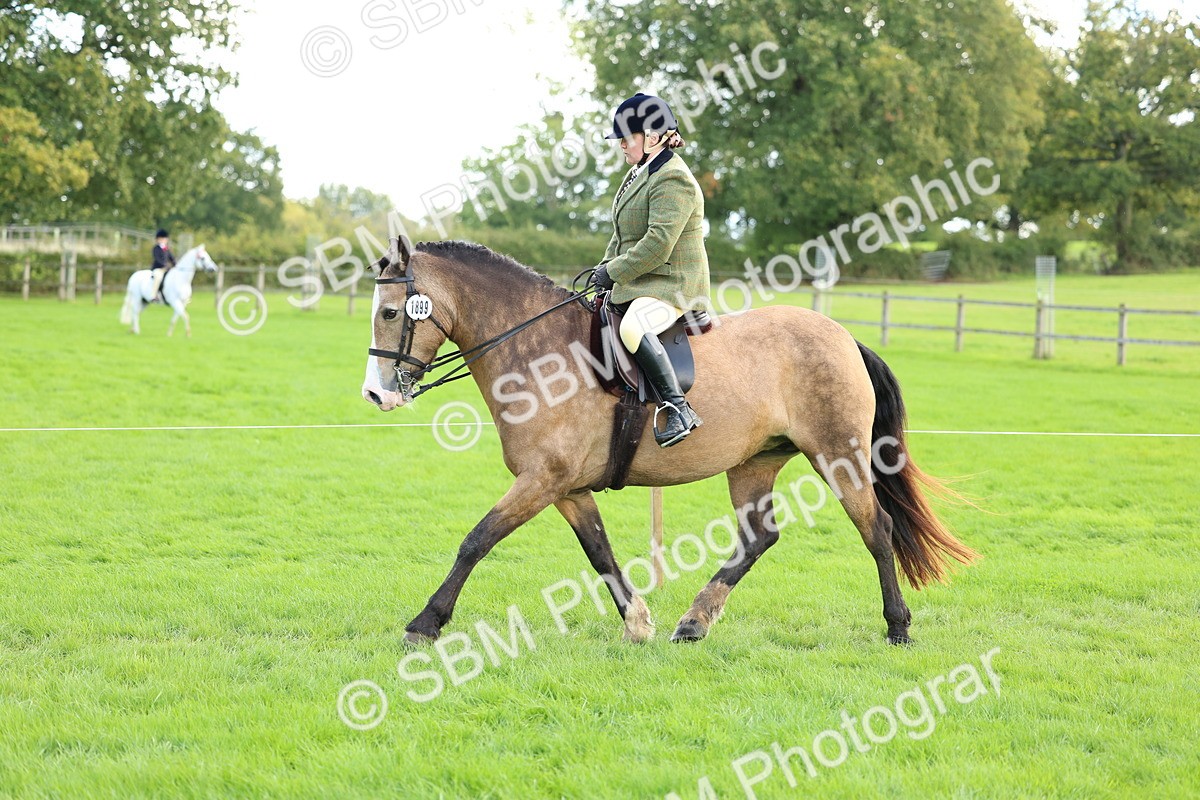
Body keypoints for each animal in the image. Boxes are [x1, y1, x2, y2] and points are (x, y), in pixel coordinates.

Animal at [361, 237, 977, 646]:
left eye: (391, 312)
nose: (375, 394)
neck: (538, 350)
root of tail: (844, 335)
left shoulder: (542, 480)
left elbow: (476, 541)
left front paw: (425, 624)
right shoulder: (565, 488)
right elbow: (599, 552)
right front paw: (638, 623)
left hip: (839, 455)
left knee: (877, 528)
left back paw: (897, 627)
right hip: (754, 463)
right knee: (758, 537)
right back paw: (694, 621)